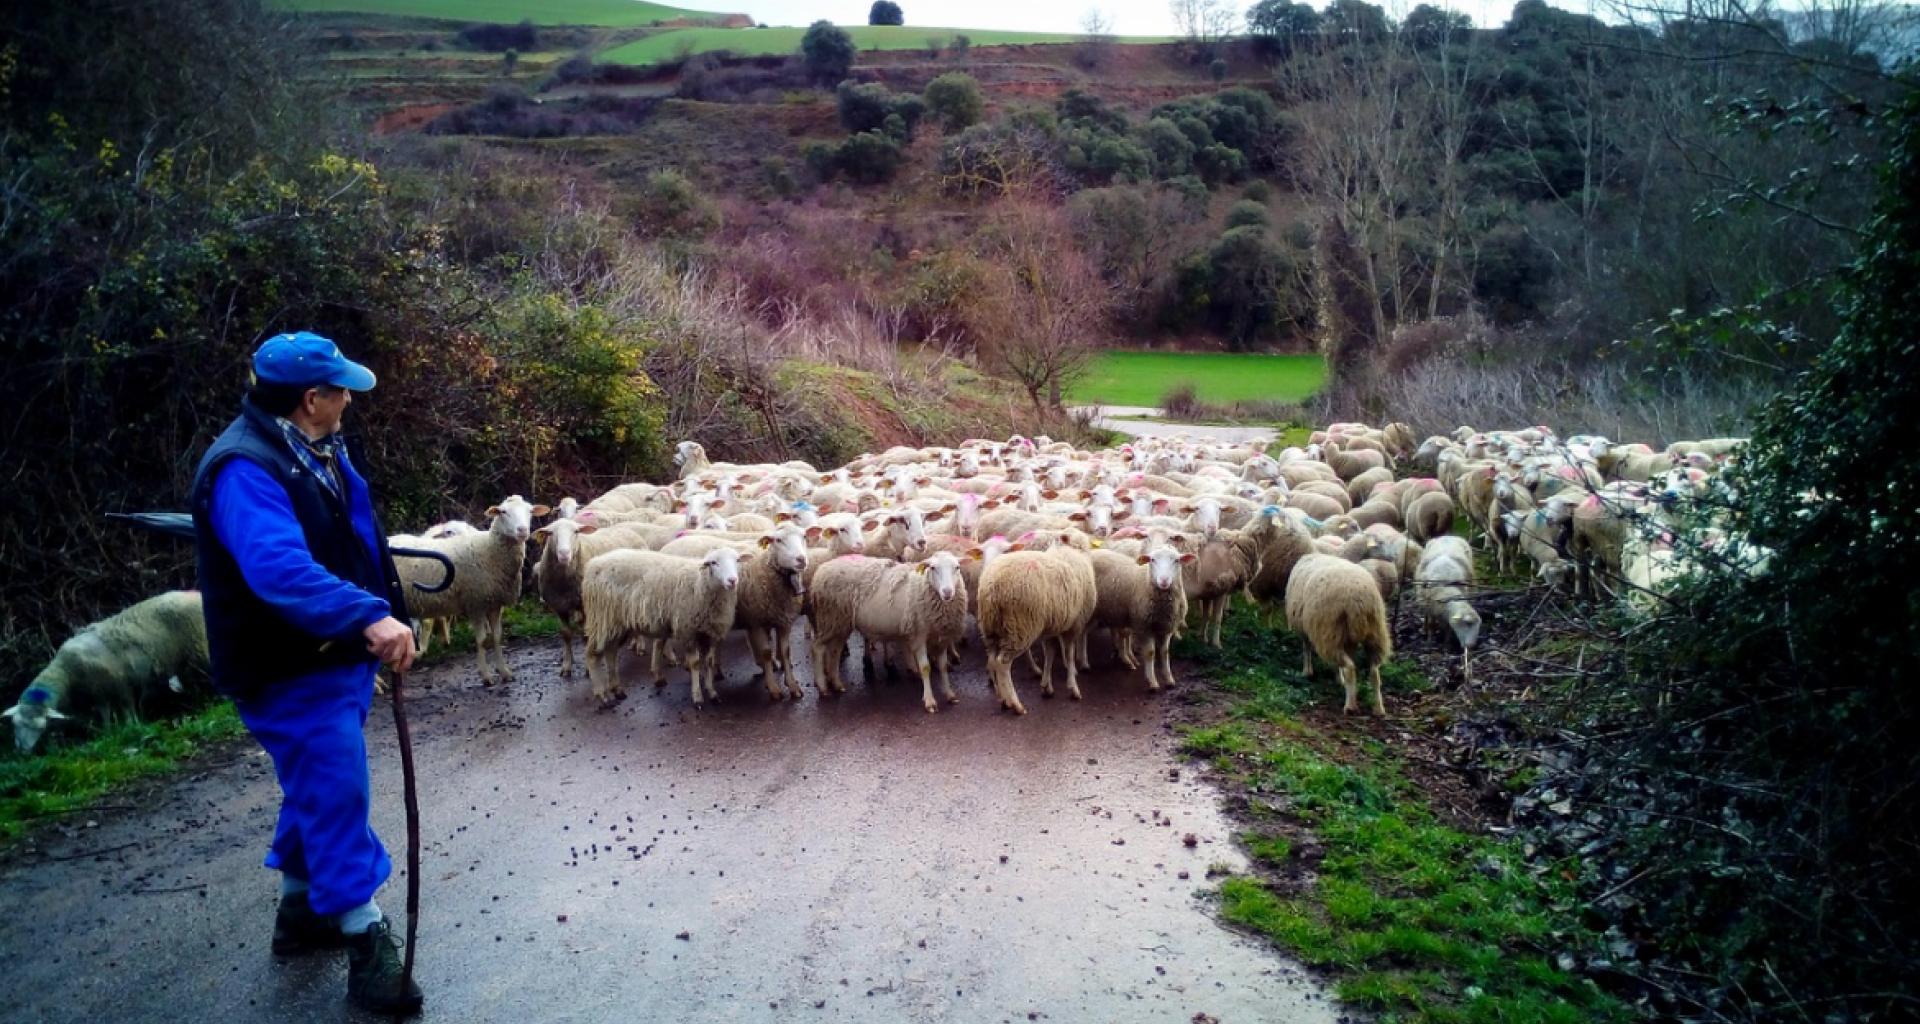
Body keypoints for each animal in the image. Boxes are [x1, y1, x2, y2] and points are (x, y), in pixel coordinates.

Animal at [4, 591, 210, 749]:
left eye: (40, 727)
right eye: (14, 724)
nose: (22, 751)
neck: (66, 672)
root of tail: (195, 594)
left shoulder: (120, 685)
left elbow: (127, 710)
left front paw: (131, 727)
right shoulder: (100, 693)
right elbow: (105, 714)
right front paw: (109, 733)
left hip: (200, 646)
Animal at [397, 495, 549, 687]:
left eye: (529, 511)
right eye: (503, 512)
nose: (522, 530)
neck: (489, 550)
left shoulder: (494, 603)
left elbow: (497, 637)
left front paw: (504, 672)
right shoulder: (476, 603)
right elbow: (482, 640)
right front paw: (486, 676)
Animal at [576, 545, 741, 707]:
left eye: (737, 560)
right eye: (714, 562)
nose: (732, 580)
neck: (700, 583)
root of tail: (592, 564)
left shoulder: (710, 633)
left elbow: (709, 662)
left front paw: (712, 692)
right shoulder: (687, 630)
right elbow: (695, 664)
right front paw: (697, 697)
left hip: (616, 623)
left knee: (611, 652)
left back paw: (617, 689)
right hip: (601, 618)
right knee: (592, 656)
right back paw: (602, 695)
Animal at [806, 549, 967, 710]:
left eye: (957, 567)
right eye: (933, 568)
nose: (947, 592)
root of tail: (821, 569)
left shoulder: (941, 637)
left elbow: (943, 667)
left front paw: (950, 694)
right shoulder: (919, 634)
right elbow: (925, 668)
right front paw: (929, 701)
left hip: (840, 623)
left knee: (835, 649)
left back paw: (837, 684)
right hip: (829, 617)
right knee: (817, 648)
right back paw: (823, 687)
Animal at [1282, 553, 1390, 714]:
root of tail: (1357, 600)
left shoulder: (1304, 627)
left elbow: (1306, 648)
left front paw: (1307, 672)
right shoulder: (1347, 640)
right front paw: (1338, 679)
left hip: (1329, 632)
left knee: (1349, 668)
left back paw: (1350, 706)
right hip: (1374, 633)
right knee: (1374, 672)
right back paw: (1378, 708)